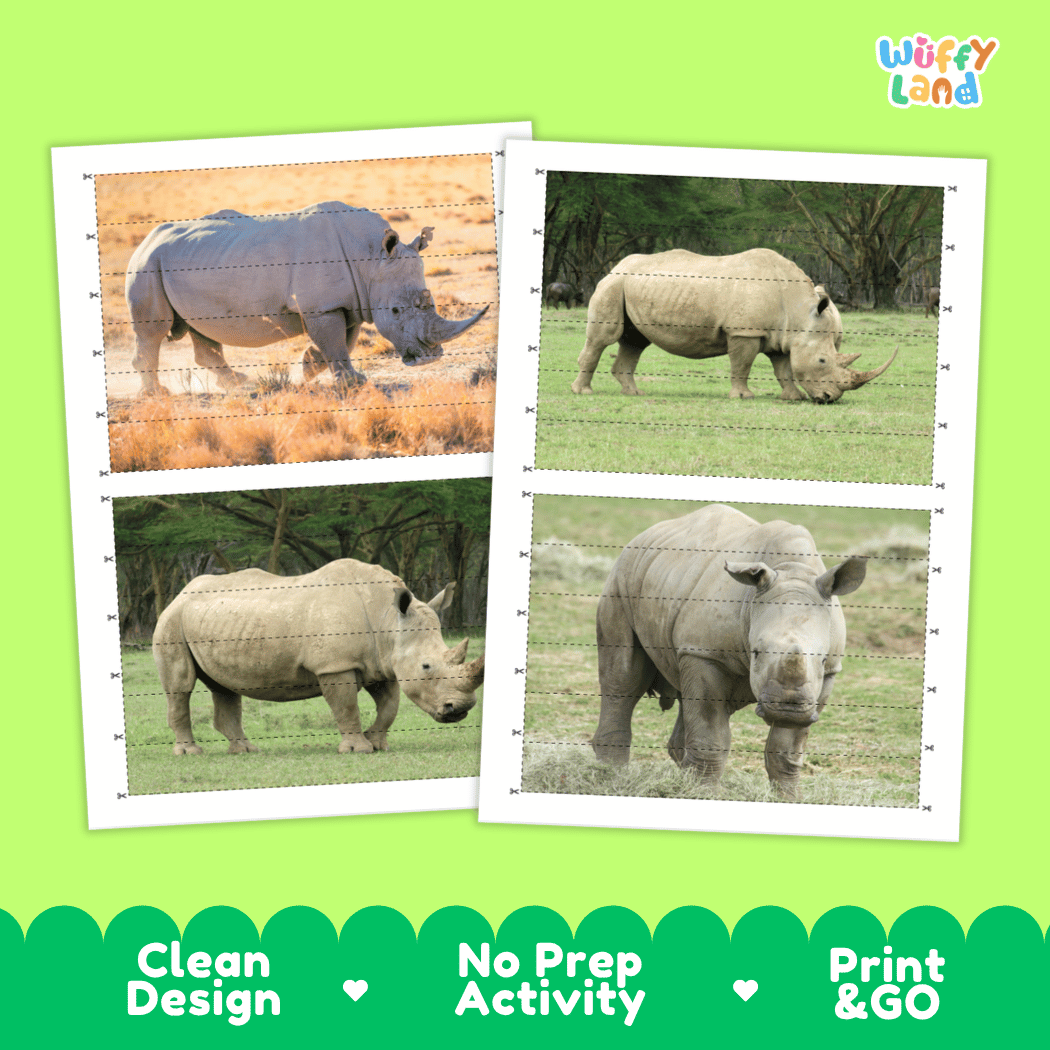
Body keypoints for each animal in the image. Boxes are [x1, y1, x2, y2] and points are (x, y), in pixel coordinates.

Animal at [125, 202, 489, 395]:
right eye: (396, 311)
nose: (429, 359)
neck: (372, 258)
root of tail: (145, 239)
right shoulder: (322, 307)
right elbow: (336, 343)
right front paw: (354, 384)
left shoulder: (348, 303)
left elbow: (345, 340)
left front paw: (310, 368)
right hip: (147, 265)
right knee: (153, 331)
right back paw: (157, 394)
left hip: (182, 261)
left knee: (203, 329)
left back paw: (238, 383)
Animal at [152, 559, 484, 756]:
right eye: (426, 666)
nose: (460, 709)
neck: (388, 619)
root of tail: (179, 594)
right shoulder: (335, 666)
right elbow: (347, 706)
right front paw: (358, 749)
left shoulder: (383, 663)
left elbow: (389, 706)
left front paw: (377, 744)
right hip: (172, 622)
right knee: (181, 686)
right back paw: (190, 753)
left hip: (212, 620)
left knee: (224, 687)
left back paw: (245, 751)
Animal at [571, 248, 897, 403]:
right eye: (822, 361)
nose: (829, 399)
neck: (799, 310)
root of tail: (614, 266)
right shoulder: (744, 332)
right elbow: (742, 364)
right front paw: (743, 397)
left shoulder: (781, 335)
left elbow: (784, 369)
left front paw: (793, 398)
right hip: (614, 285)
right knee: (604, 337)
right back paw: (583, 393)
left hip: (632, 285)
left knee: (635, 341)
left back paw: (633, 393)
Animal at [590, 505, 866, 799]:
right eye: (756, 653)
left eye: (822, 659)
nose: (787, 708)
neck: (792, 569)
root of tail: (643, 535)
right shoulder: (706, 654)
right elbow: (710, 732)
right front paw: (704, 795)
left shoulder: (827, 674)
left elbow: (787, 748)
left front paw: (789, 799)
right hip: (622, 580)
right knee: (623, 680)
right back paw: (611, 778)